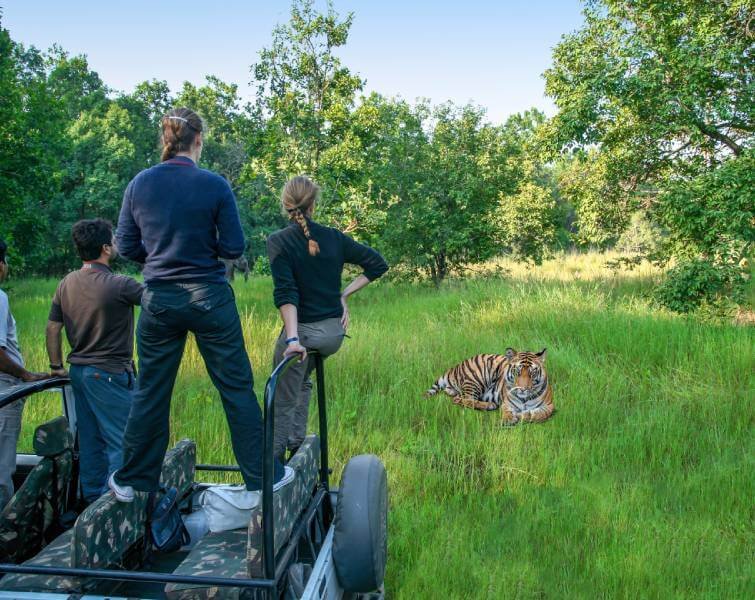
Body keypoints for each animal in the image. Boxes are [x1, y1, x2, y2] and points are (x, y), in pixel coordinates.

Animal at [426, 346, 556, 426]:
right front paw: (509, 419)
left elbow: (536, 415)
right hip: (477, 378)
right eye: (517, 371)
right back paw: (489, 405)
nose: (522, 389)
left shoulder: (549, 406)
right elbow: (507, 412)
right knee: (462, 399)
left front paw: (520, 415)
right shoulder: (506, 404)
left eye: (532, 373)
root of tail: (456, 366)